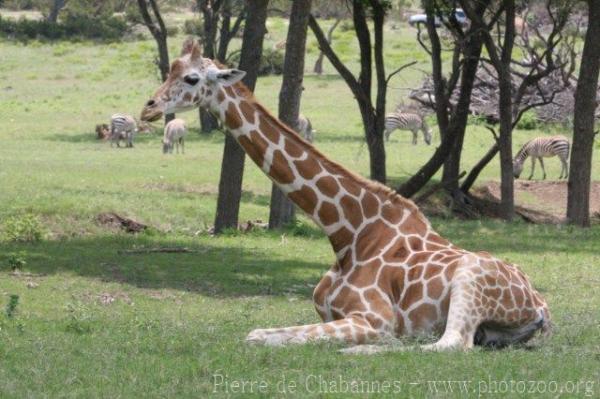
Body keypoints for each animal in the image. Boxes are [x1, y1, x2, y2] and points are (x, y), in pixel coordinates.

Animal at [139, 39, 548, 354]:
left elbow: (260, 337)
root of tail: (541, 305)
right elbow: (260, 333)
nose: (149, 108)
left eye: (192, 78)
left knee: (449, 344)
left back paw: (360, 349)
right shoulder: (329, 313)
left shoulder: (374, 318)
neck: (347, 234)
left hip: (470, 278)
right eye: (170, 70)